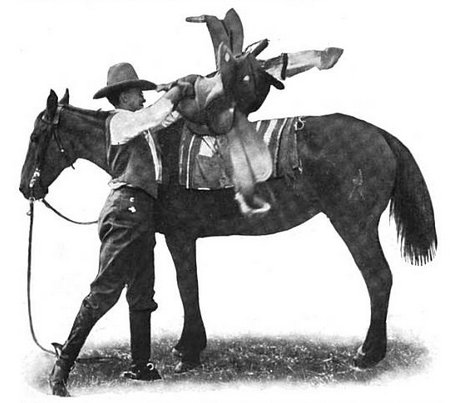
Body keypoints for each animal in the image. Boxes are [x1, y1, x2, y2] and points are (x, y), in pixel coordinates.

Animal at [19, 89, 436, 376]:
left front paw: (188, 351)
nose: (26, 188)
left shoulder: (180, 236)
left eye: (36, 137)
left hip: (354, 226)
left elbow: (187, 286)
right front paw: (187, 347)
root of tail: (379, 134)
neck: (157, 149)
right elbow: (176, 289)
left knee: (378, 279)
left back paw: (368, 354)